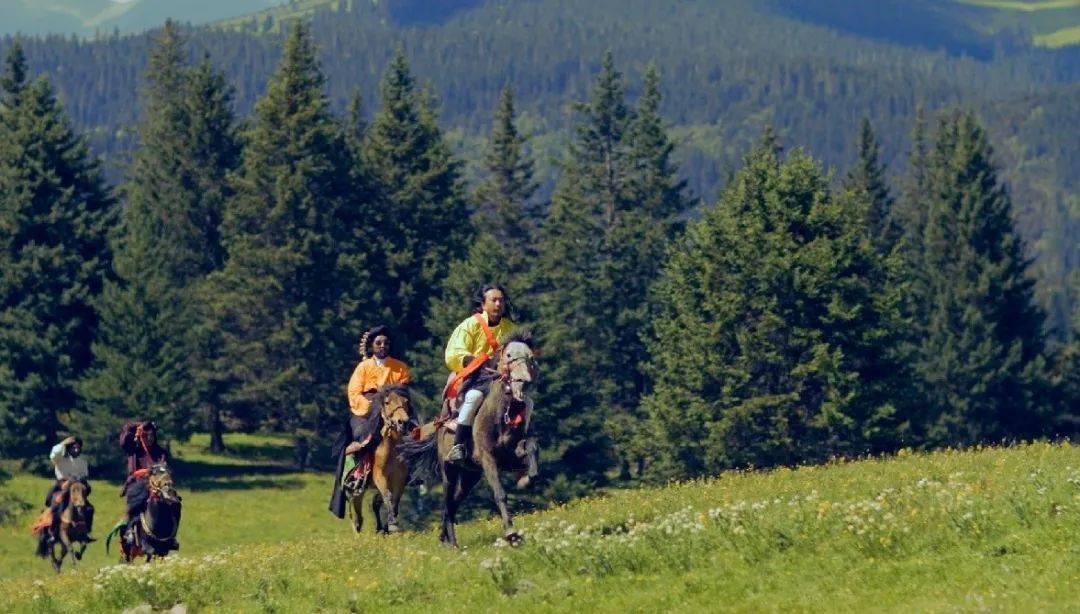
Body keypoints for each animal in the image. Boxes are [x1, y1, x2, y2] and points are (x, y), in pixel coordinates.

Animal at [343, 386, 414, 533]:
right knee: (357, 516)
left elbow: (394, 500)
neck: (390, 450)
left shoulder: (400, 479)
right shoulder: (379, 477)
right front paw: (393, 525)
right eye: (387, 402)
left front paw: (390, 525)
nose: (403, 422)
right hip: (356, 492)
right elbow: (388, 496)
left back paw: (380, 529)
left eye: (406, 401)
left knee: (374, 504)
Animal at [401, 332, 540, 548]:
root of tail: (441, 426)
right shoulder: (488, 457)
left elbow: (531, 448)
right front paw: (511, 533)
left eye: (530, 357)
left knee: (454, 502)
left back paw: (444, 538)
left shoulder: (510, 456)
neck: (500, 414)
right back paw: (452, 543)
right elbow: (500, 493)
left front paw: (525, 480)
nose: (522, 381)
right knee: (448, 502)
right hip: (449, 471)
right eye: (509, 355)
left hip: (470, 475)